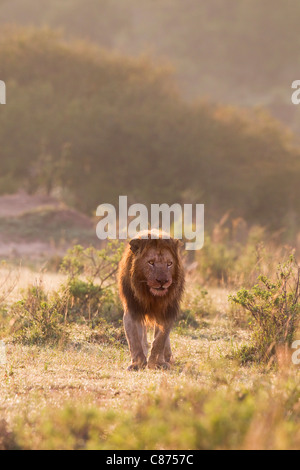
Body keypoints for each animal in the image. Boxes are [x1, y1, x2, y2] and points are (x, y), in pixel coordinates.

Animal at [118, 229, 185, 370]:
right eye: (151, 262)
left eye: (169, 264)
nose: (162, 281)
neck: (152, 296)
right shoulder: (132, 309)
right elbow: (134, 339)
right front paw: (137, 364)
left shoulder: (167, 312)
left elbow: (160, 339)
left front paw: (157, 363)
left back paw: (168, 357)